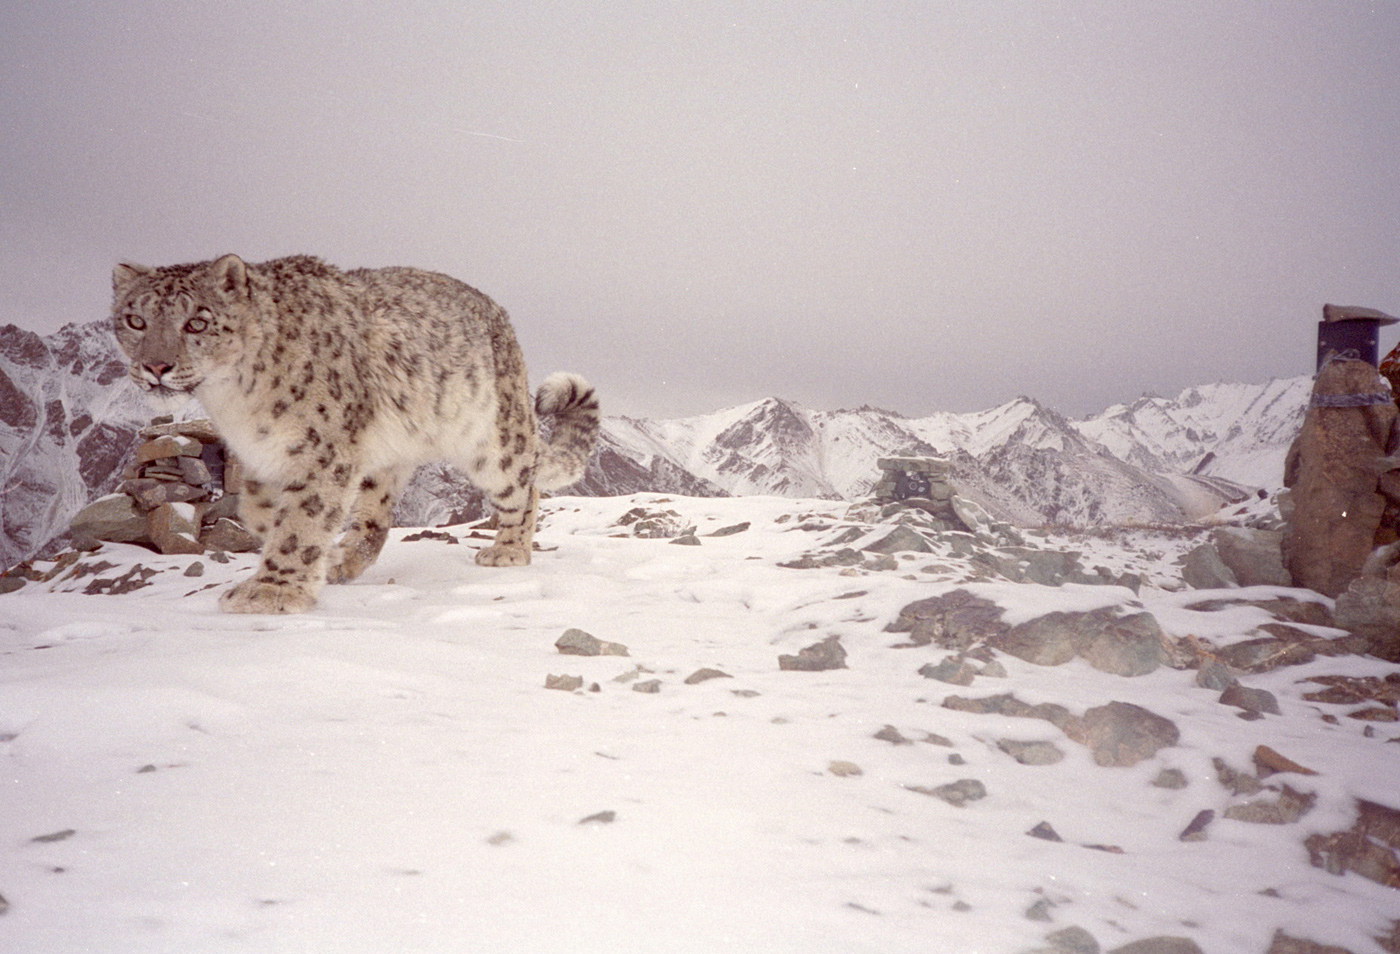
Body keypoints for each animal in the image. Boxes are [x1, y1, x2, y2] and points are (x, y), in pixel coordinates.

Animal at [113, 250, 602, 610]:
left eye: (197, 321)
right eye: (135, 320)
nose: (155, 366)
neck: (235, 403)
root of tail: (500, 315)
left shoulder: (323, 450)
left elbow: (303, 518)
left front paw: (272, 590)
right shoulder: (263, 455)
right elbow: (260, 510)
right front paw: (309, 556)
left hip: (493, 437)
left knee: (522, 485)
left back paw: (509, 550)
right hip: (384, 455)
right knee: (376, 515)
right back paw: (345, 559)